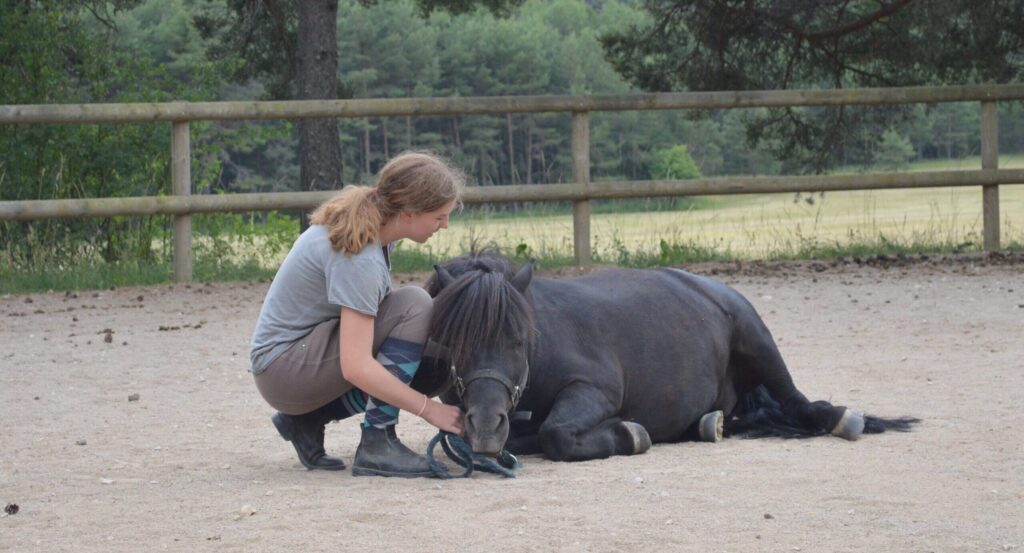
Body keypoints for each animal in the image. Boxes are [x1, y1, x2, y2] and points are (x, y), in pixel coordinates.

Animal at [419, 252, 917, 460]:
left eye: (520, 340)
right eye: (454, 342)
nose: (487, 425)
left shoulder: (595, 390)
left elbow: (556, 434)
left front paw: (629, 434)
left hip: (758, 339)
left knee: (798, 401)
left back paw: (840, 418)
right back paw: (707, 424)